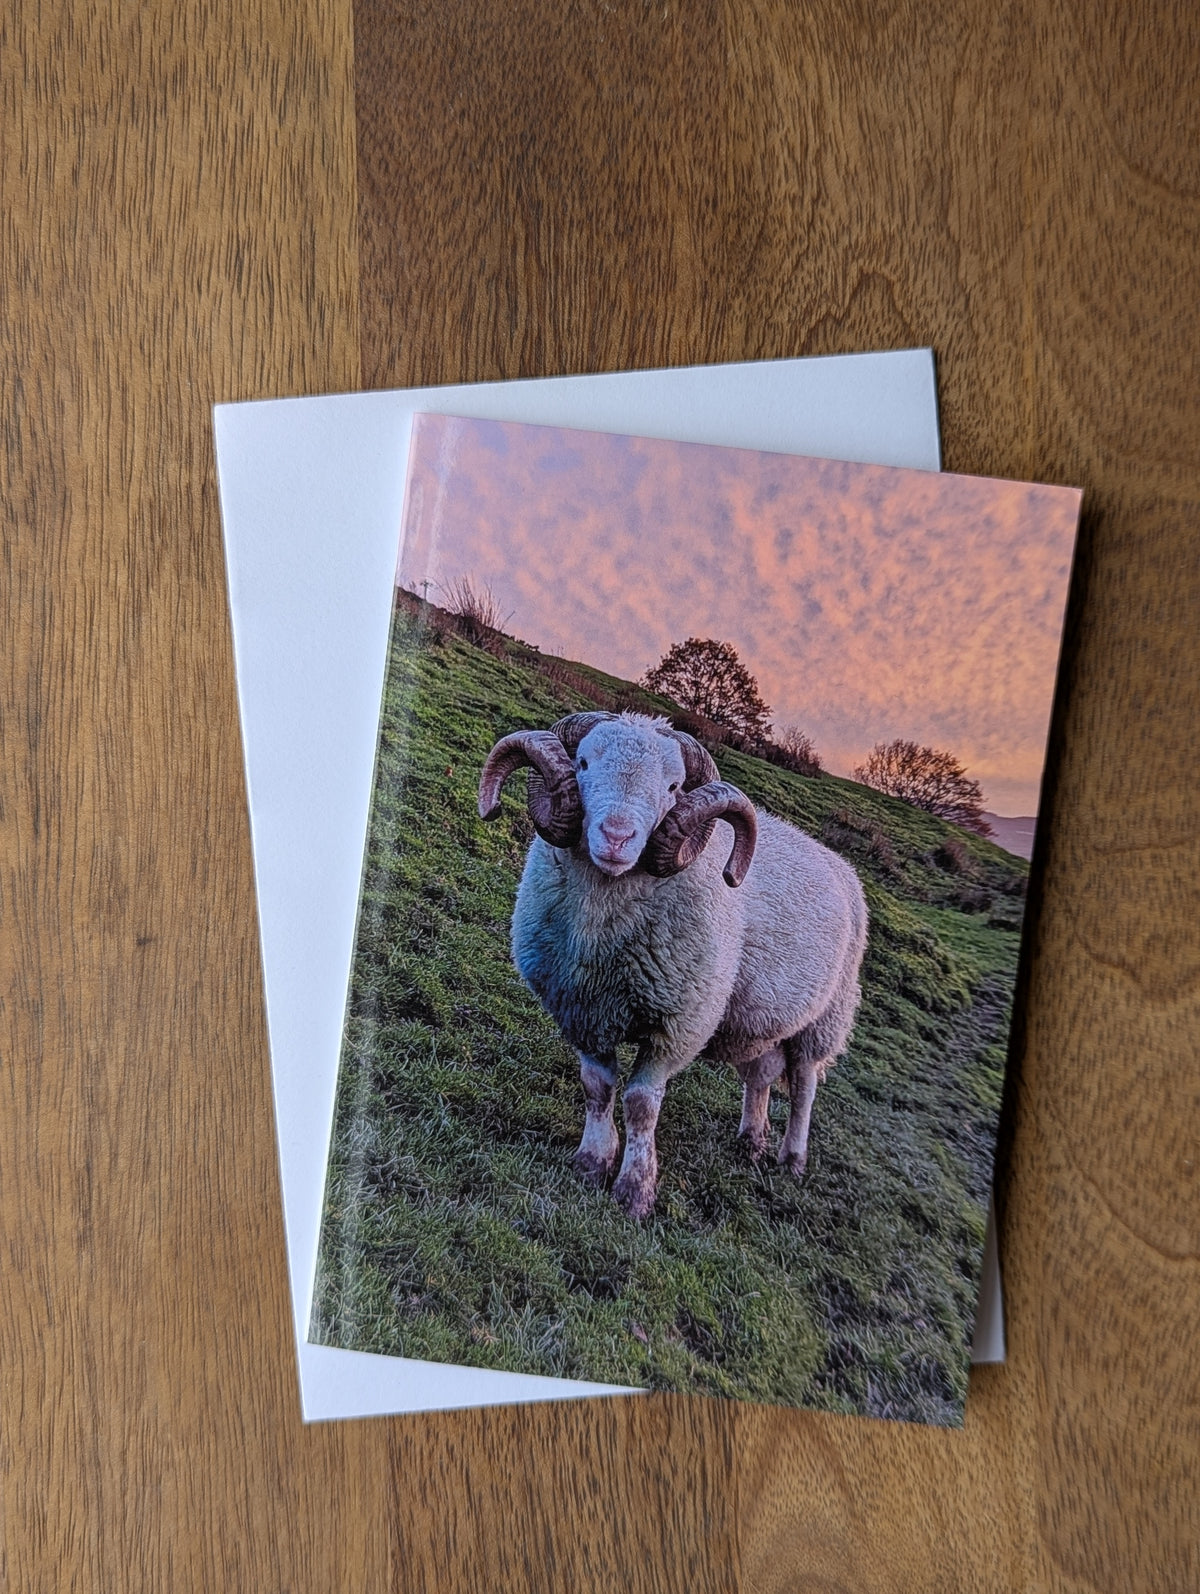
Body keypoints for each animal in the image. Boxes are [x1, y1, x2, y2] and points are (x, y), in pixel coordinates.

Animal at [478, 710, 868, 1219]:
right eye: (582, 763)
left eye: (673, 786)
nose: (617, 838)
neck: (601, 923)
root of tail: (843, 866)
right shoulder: (581, 1010)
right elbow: (597, 1087)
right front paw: (592, 1162)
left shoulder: (679, 1024)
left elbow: (642, 1103)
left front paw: (635, 1191)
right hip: (759, 1020)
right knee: (761, 1075)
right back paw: (751, 1141)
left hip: (823, 1019)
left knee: (804, 1087)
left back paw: (792, 1158)